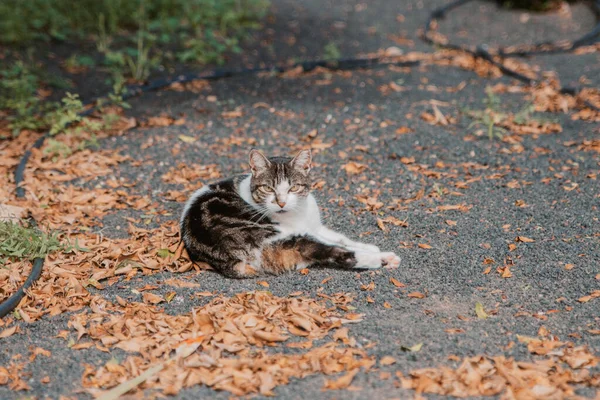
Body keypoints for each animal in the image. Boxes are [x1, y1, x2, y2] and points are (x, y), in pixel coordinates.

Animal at [180, 148, 400, 276]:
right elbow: (338, 244)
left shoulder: (315, 226)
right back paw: (383, 259)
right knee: (333, 252)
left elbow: (342, 238)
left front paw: (370, 246)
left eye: (293, 188)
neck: (299, 212)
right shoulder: (304, 230)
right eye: (268, 188)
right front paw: (374, 253)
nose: (281, 203)